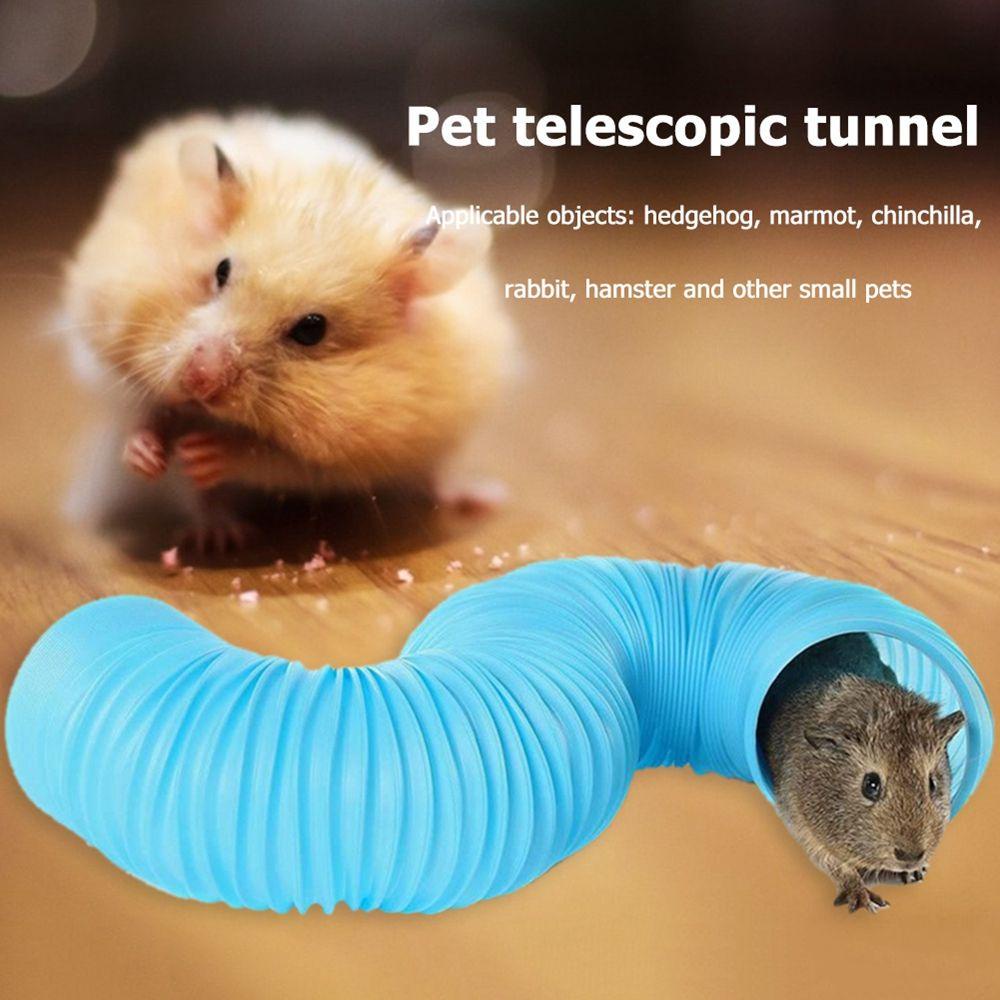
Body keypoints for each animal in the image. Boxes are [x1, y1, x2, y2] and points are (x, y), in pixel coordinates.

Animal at [60, 110, 515, 549]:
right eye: (220, 271)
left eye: (312, 330)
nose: (199, 380)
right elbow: (144, 413)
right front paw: (144, 454)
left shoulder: (351, 454)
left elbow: (276, 461)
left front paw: (205, 453)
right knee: (198, 497)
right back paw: (219, 536)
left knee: (439, 474)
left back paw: (480, 497)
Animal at [759, 633, 965, 913]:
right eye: (871, 785)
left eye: (932, 783)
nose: (911, 857)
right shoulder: (800, 823)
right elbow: (836, 864)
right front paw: (866, 902)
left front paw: (916, 873)